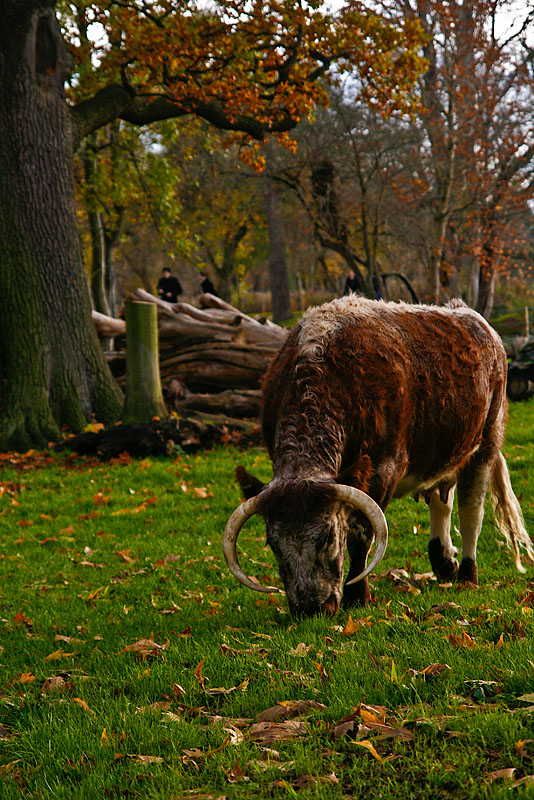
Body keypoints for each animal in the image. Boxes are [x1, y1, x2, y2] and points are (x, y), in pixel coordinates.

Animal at [222, 296, 532, 616]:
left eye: (327, 537)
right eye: (272, 543)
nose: (310, 608)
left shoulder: (383, 469)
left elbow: (362, 533)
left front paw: (357, 595)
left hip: (486, 443)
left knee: (472, 510)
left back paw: (467, 575)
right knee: (441, 499)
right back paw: (444, 563)